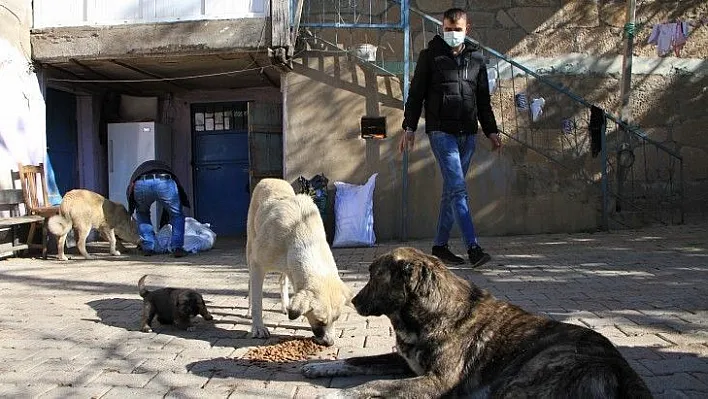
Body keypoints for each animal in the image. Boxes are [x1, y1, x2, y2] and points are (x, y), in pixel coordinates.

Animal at [248, 178, 352, 346]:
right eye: (320, 321)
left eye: (336, 318)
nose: (330, 343)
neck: (302, 233)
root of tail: (270, 179)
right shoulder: (257, 263)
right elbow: (258, 300)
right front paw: (258, 327)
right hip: (250, 244)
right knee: (250, 284)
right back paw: (249, 310)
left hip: (284, 267)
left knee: (282, 279)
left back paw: (285, 305)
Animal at [300, 248, 652, 398]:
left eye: (375, 275)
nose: (355, 302)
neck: (428, 314)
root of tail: (622, 368)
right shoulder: (405, 362)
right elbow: (357, 361)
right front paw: (321, 367)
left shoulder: (437, 380)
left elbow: (371, 385)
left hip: (519, 383)